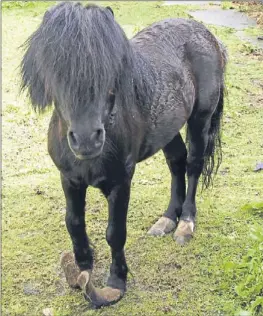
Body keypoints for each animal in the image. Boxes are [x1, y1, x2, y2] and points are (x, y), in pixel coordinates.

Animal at [20, 1, 228, 308]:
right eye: (56, 68)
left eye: (108, 68)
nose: (86, 139)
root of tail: (205, 33)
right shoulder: (69, 179)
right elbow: (74, 224)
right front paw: (82, 271)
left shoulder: (121, 182)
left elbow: (115, 232)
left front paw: (116, 282)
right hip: (168, 128)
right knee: (176, 162)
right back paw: (168, 219)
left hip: (200, 119)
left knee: (192, 165)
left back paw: (185, 223)